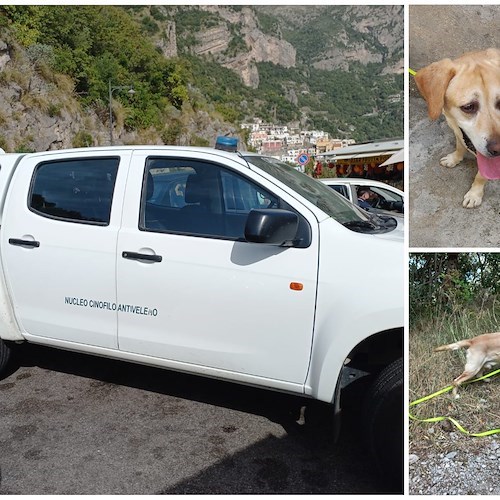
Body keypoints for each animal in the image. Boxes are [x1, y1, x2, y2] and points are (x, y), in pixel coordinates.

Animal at [414, 47, 500, 208]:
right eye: (469, 107)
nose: (498, 149)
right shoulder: (456, 128)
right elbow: (460, 146)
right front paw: (454, 159)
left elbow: (481, 175)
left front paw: (474, 194)